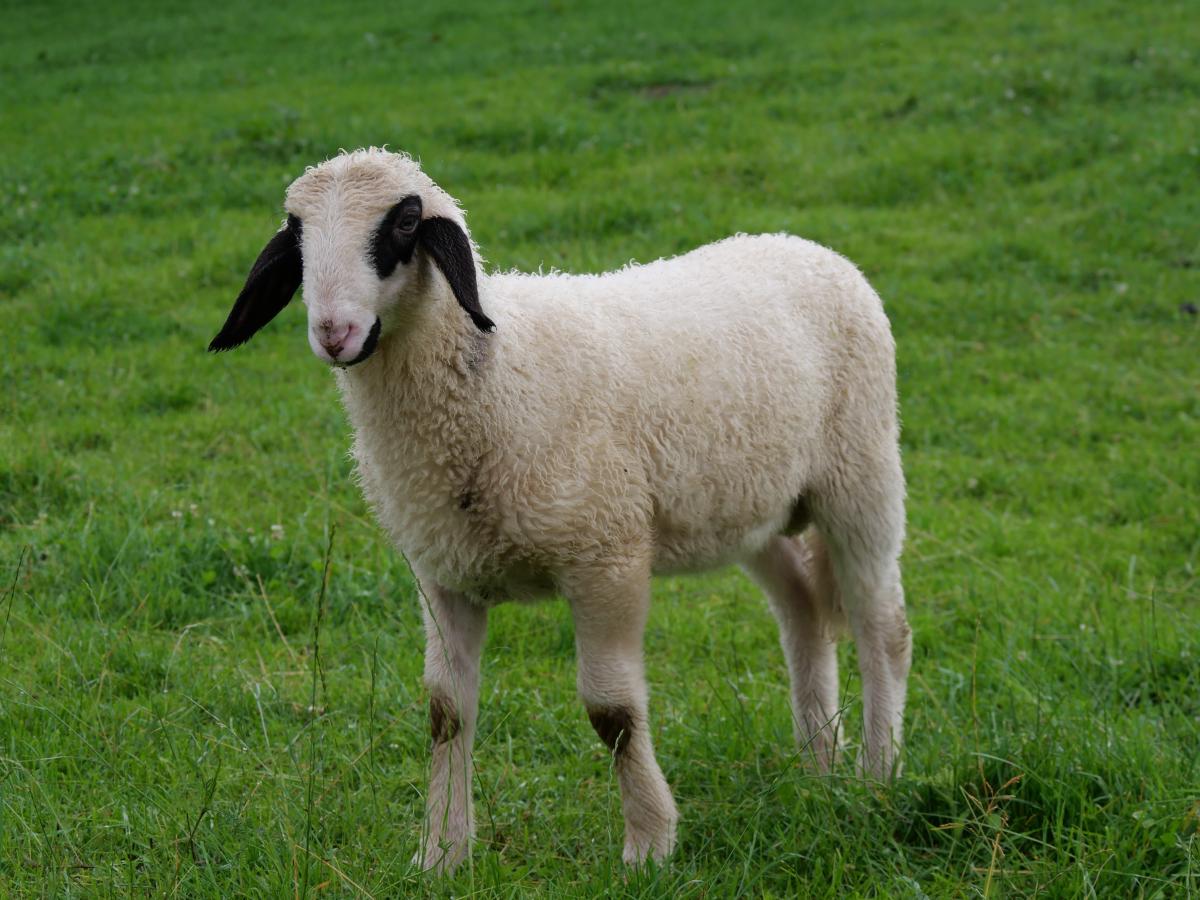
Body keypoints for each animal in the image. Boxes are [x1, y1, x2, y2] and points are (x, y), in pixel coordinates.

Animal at [209, 147, 912, 872]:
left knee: (881, 625)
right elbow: (446, 712)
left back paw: (876, 774)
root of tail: (803, 246)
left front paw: (648, 845)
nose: (335, 334)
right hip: (751, 507)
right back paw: (818, 768)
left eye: (403, 224)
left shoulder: (606, 557)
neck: (498, 375)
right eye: (296, 232)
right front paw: (441, 854)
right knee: (803, 609)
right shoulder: (442, 574)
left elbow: (613, 712)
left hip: (860, 474)